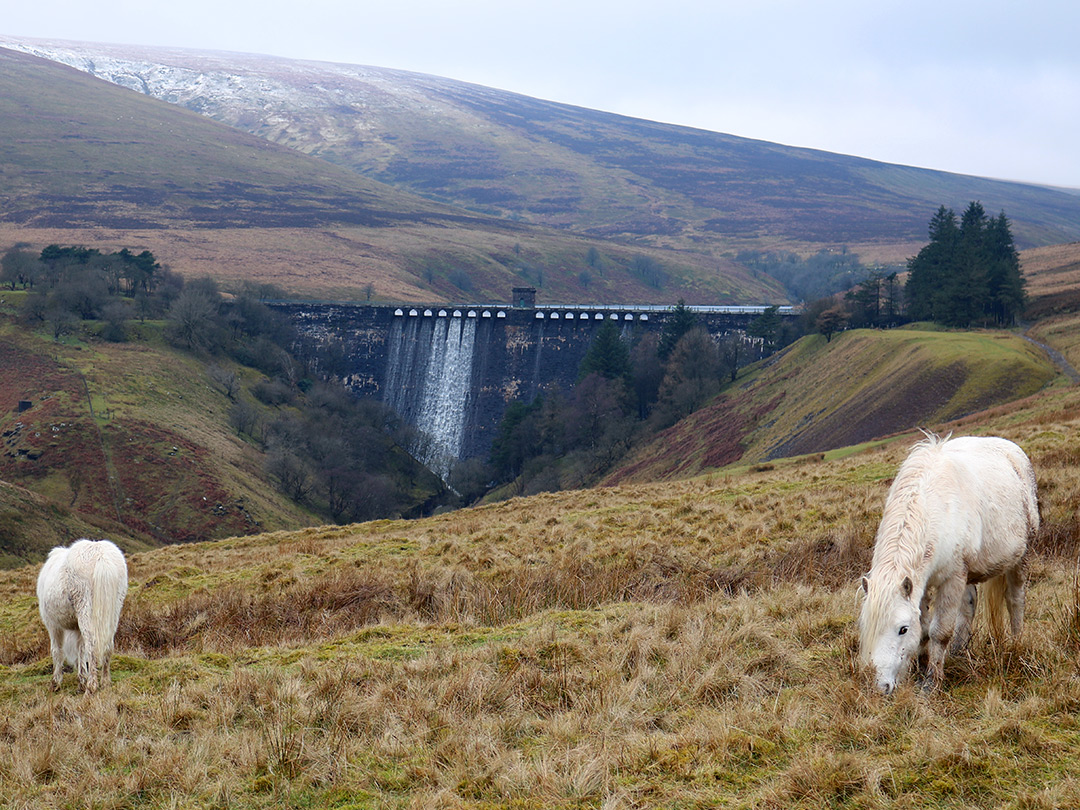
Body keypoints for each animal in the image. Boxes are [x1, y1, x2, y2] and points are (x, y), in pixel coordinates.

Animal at [37, 542, 129, 695]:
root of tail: (101, 556)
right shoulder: (77, 628)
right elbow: (80, 651)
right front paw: (81, 682)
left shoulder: (53, 625)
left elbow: (57, 651)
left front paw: (56, 683)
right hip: (114, 609)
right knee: (108, 645)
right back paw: (105, 682)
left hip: (85, 608)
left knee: (92, 645)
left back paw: (91, 686)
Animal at [859, 434, 1036, 695]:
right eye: (866, 626)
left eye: (902, 629)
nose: (881, 687)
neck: (934, 507)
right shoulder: (921, 585)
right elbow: (924, 629)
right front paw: (922, 668)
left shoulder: (952, 579)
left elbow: (939, 632)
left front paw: (932, 683)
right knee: (969, 604)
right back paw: (958, 652)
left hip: (1019, 559)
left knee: (1015, 600)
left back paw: (1016, 642)